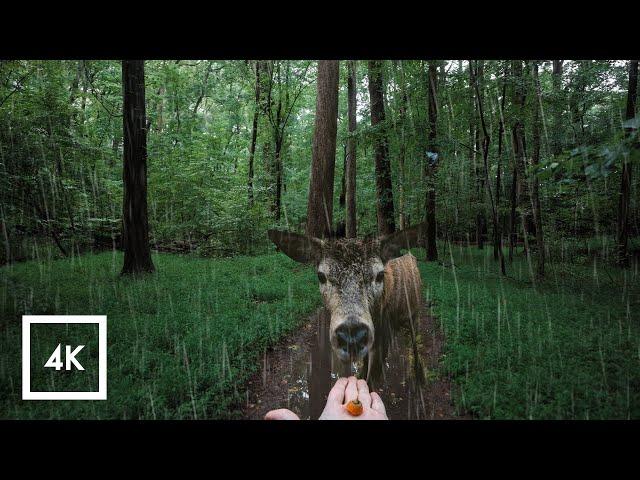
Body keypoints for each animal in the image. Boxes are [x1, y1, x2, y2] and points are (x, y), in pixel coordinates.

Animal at [268, 223, 428, 388]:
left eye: (380, 275)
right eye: (321, 276)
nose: (352, 335)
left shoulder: (382, 337)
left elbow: (371, 382)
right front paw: (360, 375)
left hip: (414, 315)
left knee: (415, 344)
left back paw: (420, 378)